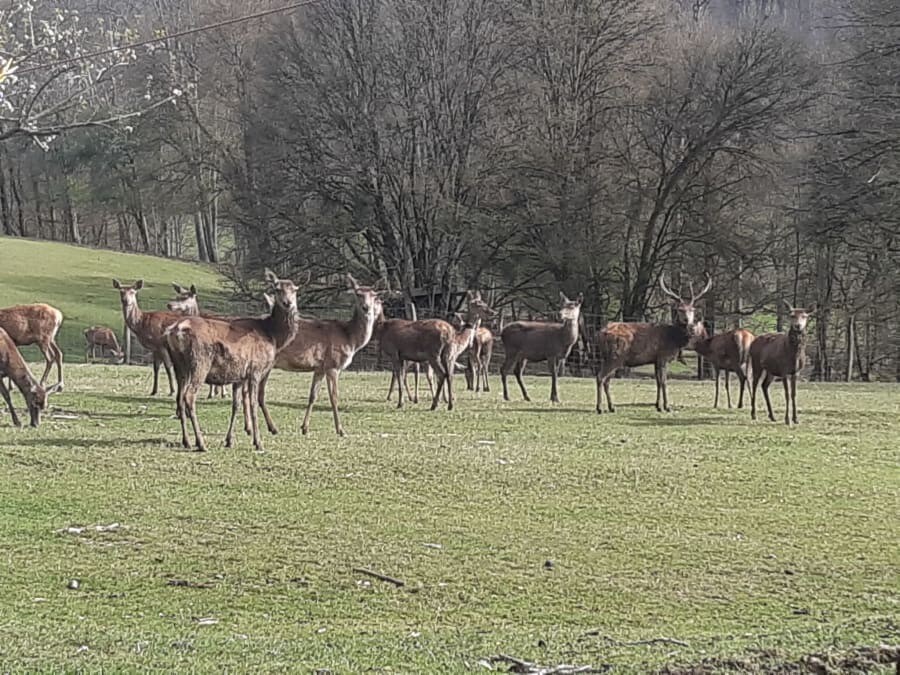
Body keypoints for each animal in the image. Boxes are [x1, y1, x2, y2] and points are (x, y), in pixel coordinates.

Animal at [163, 270, 300, 454]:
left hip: (180, 366)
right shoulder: (255, 369)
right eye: (277, 289)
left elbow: (236, 404)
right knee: (189, 396)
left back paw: (187, 441)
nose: (288, 303)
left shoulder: (239, 375)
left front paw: (229, 440)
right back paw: (201, 443)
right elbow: (253, 403)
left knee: (179, 397)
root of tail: (176, 330)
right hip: (200, 362)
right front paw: (258, 442)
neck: (273, 336)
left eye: (295, 289)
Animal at [255, 274, 382, 438]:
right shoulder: (333, 364)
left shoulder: (319, 368)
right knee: (260, 393)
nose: (366, 307)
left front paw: (304, 427)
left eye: (374, 295)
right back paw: (272, 428)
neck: (349, 338)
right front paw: (341, 430)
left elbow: (312, 396)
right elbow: (334, 397)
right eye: (358, 294)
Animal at [596, 274, 712, 412]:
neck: (674, 339)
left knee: (606, 380)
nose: (688, 323)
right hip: (616, 356)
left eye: (692, 310)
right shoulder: (663, 357)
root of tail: (601, 333)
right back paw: (600, 408)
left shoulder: (655, 360)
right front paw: (666, 407)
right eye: (680, 309)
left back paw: (611, 407)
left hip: (607, 357)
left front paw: (657, 405)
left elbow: (657, 382)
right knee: (601, 377)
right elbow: (664, 381)